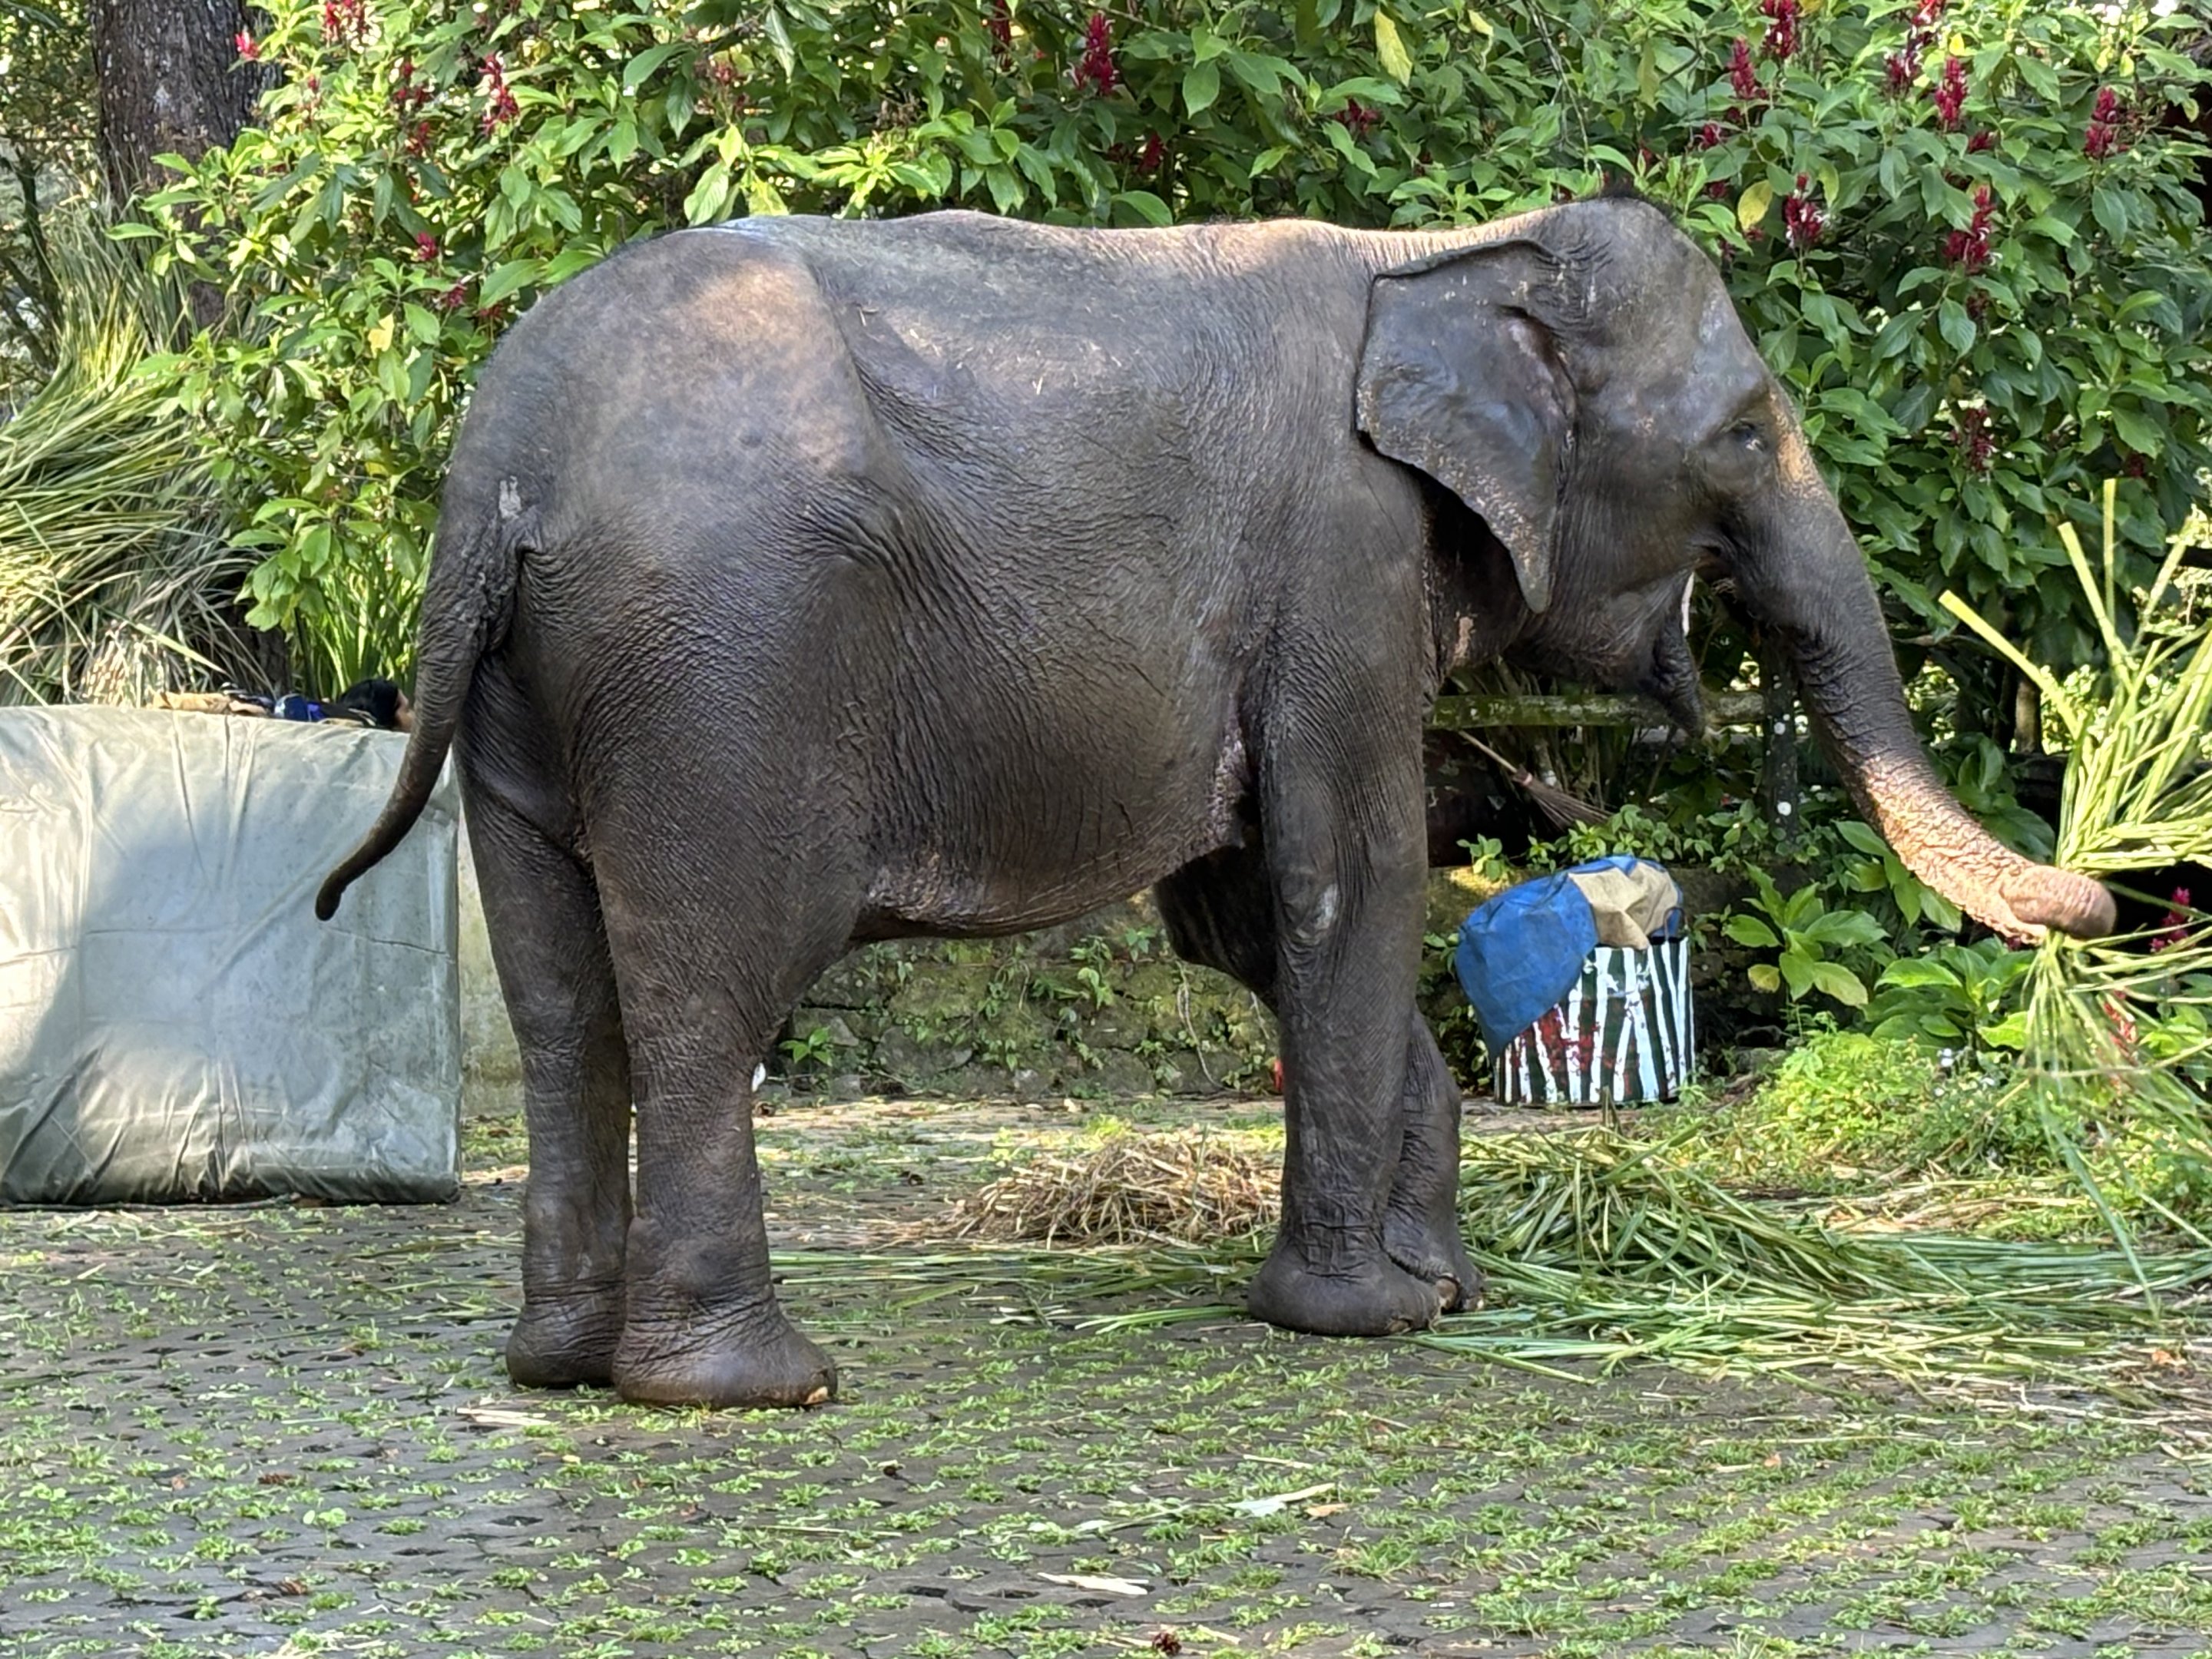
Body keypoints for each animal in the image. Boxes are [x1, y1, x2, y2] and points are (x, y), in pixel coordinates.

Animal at [319, 189, 2113, 1409]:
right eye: (1744, 436)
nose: (2103, 893)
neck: (1448, 253)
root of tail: (498, 476)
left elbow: (1249, 914)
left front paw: (1442, 1289)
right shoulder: (1343, 560)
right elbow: (1348, 876)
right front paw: (1370, 1317)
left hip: (530, 691)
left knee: (563, 997)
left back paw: (560, 1363)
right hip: (721, 665)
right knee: (706, 983)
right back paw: (755, 1386)